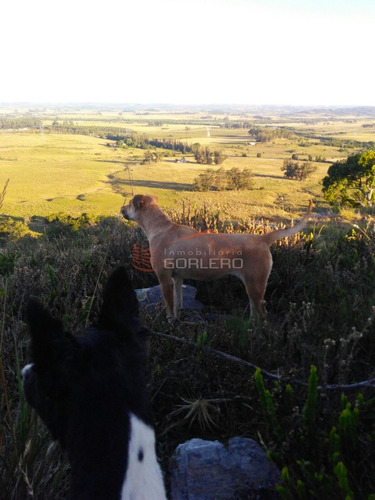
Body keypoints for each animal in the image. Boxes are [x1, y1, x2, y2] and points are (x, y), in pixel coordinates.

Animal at [121, 193, 314, 318]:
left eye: (129, 204)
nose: (122, 207)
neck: (160, 226)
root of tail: (263, 238)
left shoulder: (164, 279)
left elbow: (169, 307)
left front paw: (169, 325)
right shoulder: (177, 279)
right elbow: (178, 304)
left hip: (255, 286)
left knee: (263, 316)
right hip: (252, 288)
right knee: (255, 314)